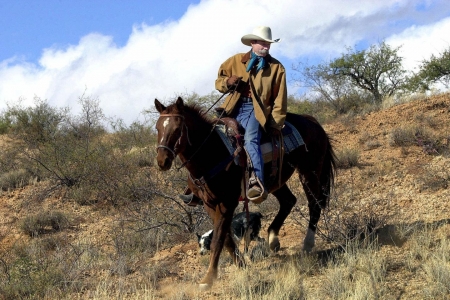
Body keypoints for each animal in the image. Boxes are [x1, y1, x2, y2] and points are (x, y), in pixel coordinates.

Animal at [155, 97, 334, 290]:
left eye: (177, 128)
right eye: (157, 128)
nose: (162, 161)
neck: (211, 153)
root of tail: (312, 121)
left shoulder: (227, 202)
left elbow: (218, 238)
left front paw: (208, 278)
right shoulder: (209, 203)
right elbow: (225, 238)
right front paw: (241, 265)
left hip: (309, 171)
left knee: (314, 204)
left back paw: (307, 244)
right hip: (274, 181)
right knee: (288, 201)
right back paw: (273, 240)